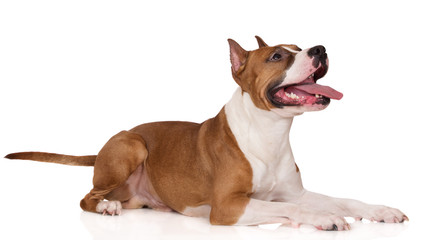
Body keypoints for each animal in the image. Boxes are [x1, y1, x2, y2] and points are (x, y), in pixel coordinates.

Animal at [5, 36, 408, 231]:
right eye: (277, 57)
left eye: (300, 47)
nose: (320, 49)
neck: (269, 133)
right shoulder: (229, 206)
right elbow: (293, 208)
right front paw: (321, 219)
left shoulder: (296, 192)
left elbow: (342, 200)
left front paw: (380, 210)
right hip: (131, 147)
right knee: (87, 197)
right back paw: (106, 206)